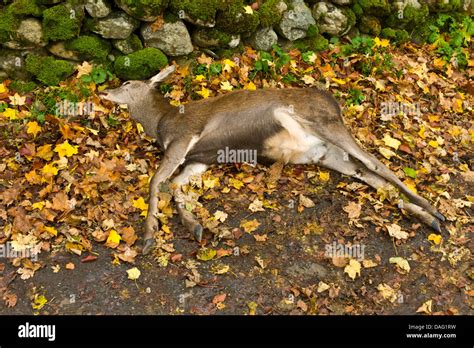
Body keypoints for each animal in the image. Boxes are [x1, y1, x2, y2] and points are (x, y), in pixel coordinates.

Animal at [100, 65, 444, 254]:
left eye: (128, 83)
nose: (104, 91)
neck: (161, 124)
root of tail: (334, 102)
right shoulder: (199, 158)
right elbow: (174, 185)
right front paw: (195, 226)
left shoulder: (185, 137)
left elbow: (156, 181)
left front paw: (148, 236)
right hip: (327, 155)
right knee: (369, 175)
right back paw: (428, 218)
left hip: (324, 123)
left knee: (376, 163)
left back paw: (434, 211)